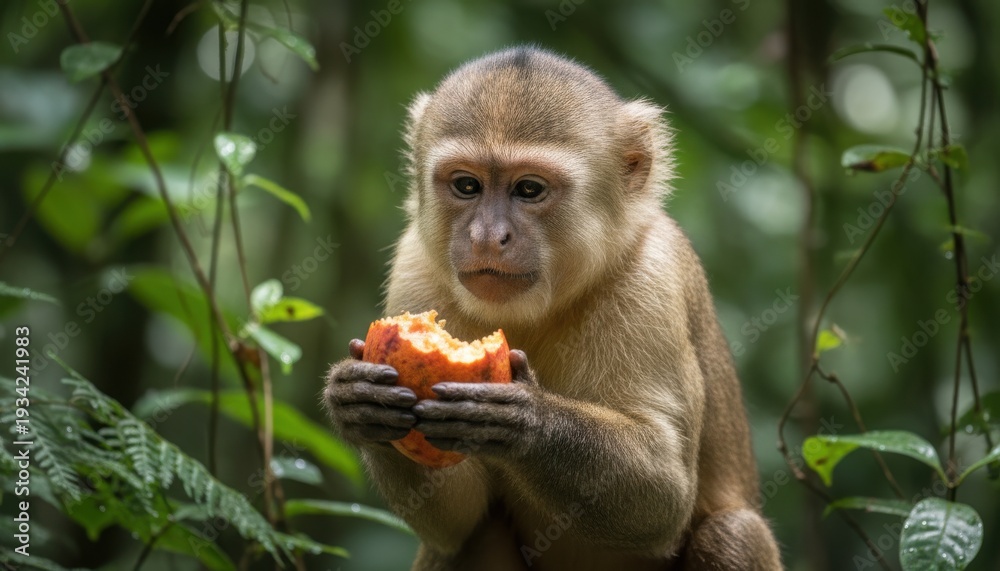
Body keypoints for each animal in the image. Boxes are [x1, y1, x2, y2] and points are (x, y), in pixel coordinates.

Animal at [324, 47, 782, 570]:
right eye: (467, 186)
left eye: (528, 190)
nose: (487, 236)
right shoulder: (415, 268)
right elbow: (457, 522)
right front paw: (361, 403)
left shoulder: (654, 275)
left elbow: (665, 499)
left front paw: (525, 420)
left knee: (733, 531)